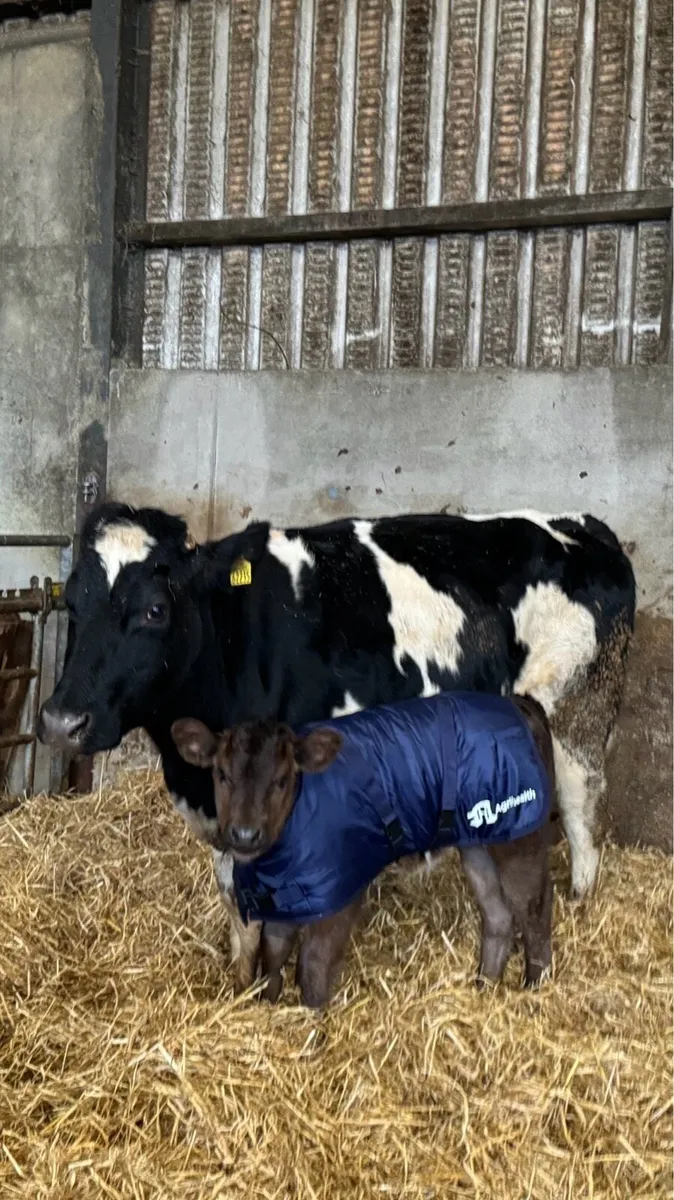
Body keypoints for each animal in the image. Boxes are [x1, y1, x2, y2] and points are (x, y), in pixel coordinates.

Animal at [38, 502, 635, 990]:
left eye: (155, 610)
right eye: (73, 603)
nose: (62, 721)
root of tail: (584, 526)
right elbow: (236, 900)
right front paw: (240, 983)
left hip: (578, 713)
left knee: (582, 814)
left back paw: (580, 905)